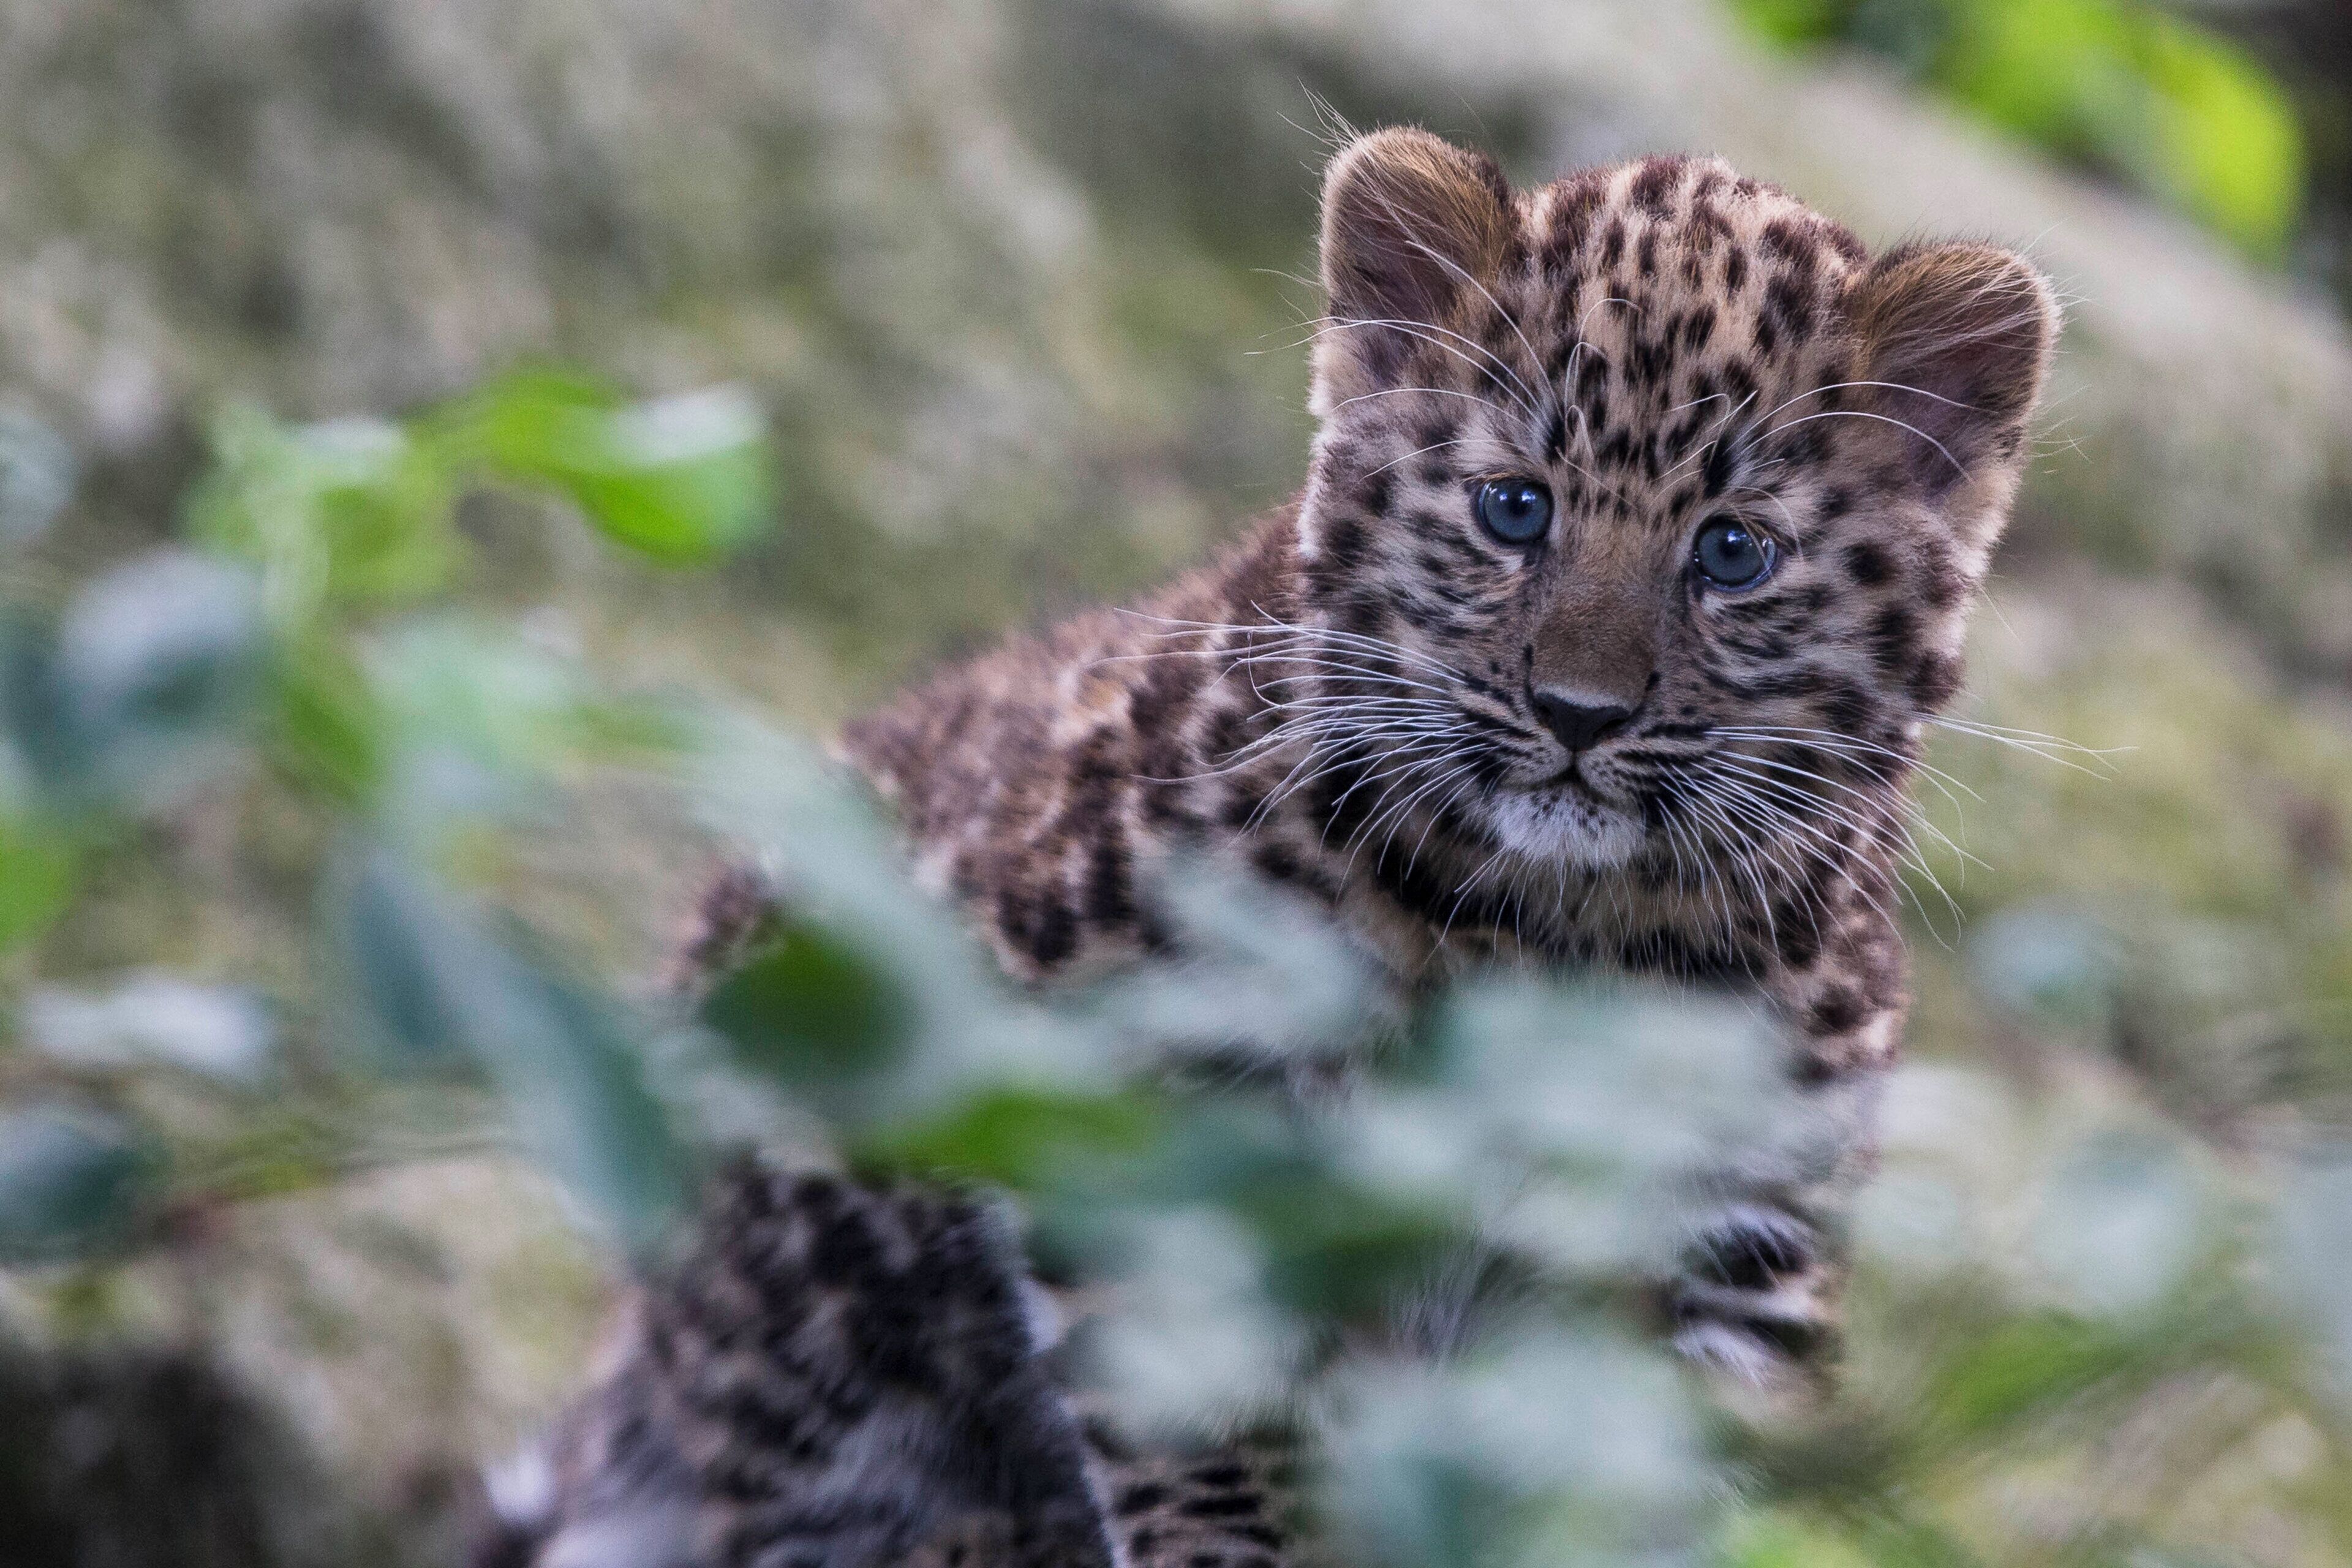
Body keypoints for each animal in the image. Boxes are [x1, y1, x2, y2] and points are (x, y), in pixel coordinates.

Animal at [486, 127, 2058, 1568]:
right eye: (1514, 507)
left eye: (1733, 552)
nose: (1578, 711)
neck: (1562, 929)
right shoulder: (1129, 1069)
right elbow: (1197, 1388)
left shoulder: (1735, 1241)